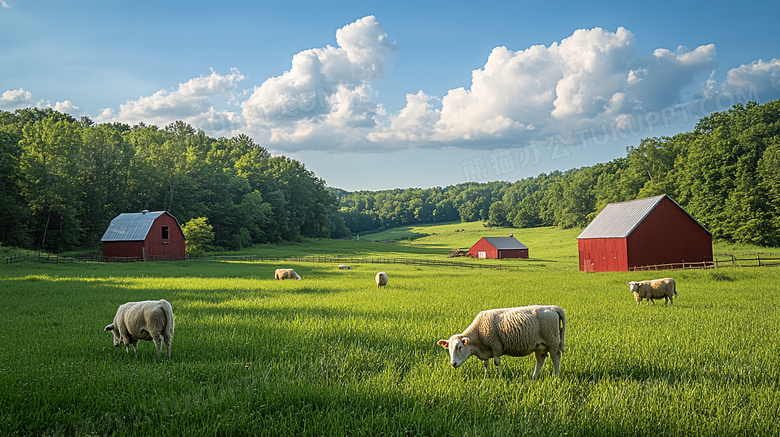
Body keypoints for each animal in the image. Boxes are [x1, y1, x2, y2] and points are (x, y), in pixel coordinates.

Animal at [432, 304, 568, 378]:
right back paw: (534, 377)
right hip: (540, 345)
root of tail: (552, 307)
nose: (453, 364)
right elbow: (486, 364)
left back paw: (555, 376)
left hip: (552, 340)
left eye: (460, 347)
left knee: (556, 358)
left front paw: (501, 376)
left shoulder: (496, 346)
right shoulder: (485, 350)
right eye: (449, 349)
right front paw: (486, 376)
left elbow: (497, 362)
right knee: (540, 360)